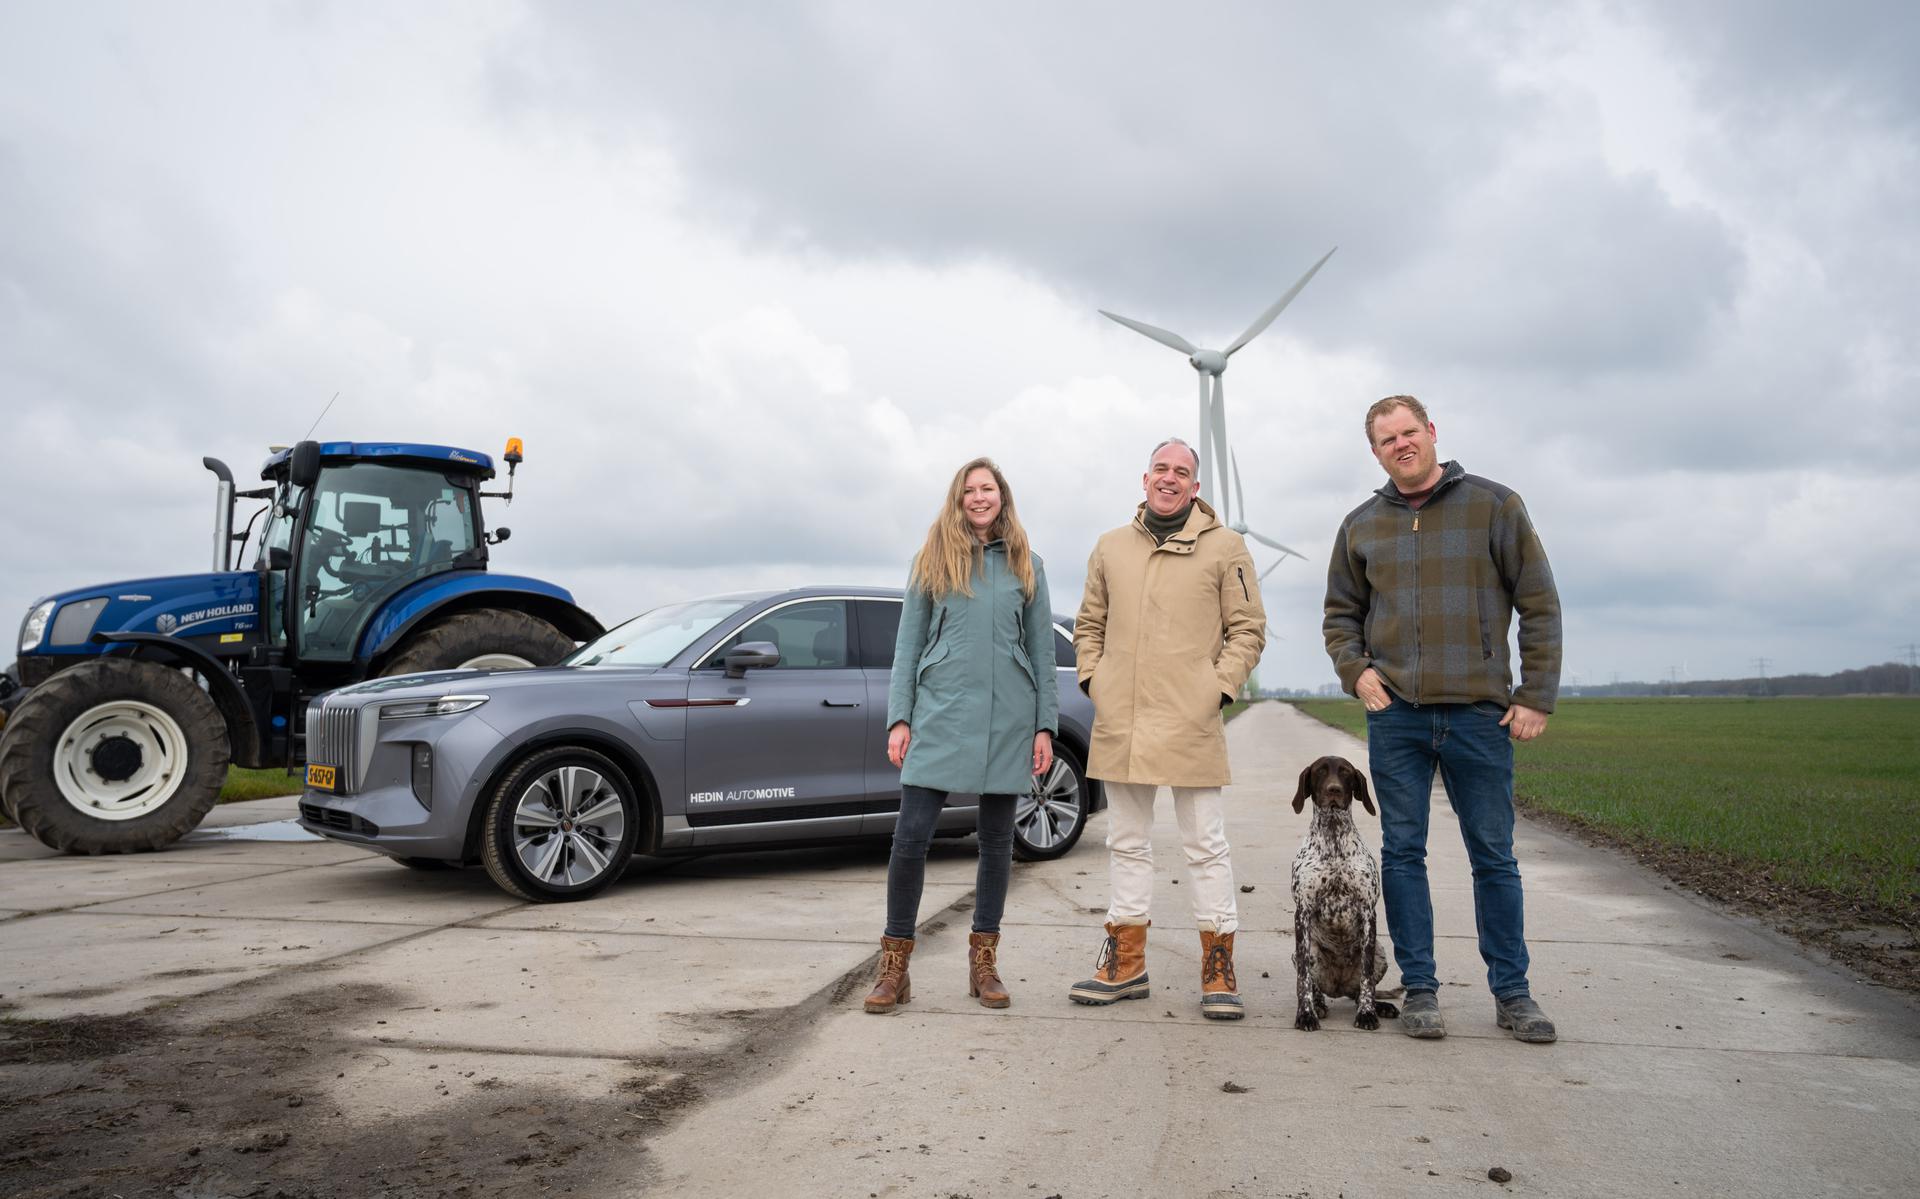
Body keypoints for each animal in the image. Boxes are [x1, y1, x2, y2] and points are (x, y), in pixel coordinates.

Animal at [1290, 757, 1397, 1029]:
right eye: (1320, 771)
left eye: (1346, 773)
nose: (1334, 790)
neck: (1333, 837)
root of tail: (1339, 988)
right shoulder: (1302, 913)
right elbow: (1303, 978)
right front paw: (1305, 1013)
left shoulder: (1368, 913)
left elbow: (1367, 977)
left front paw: (1367, 1013)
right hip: (1307, 952)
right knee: (1313, 984)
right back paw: (1318, 1004)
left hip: (1380, 952)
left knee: (1360, 990)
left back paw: (1378, 1006)